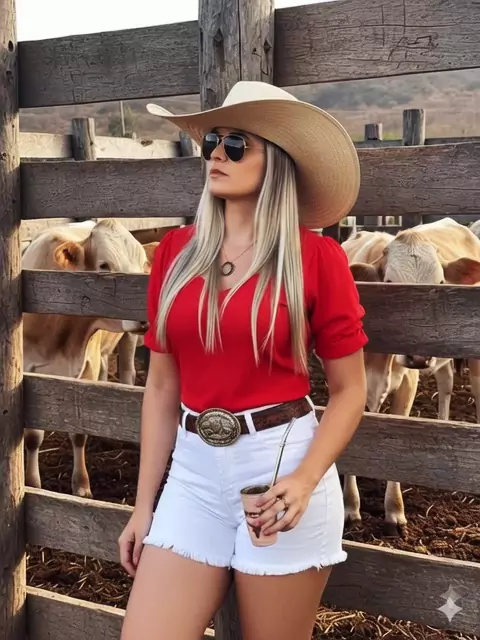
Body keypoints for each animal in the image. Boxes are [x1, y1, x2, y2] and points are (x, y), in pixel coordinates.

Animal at [23, 218, 150, 498]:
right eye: (104, 266)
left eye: (142, 265)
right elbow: (33, 437)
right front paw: (32, 483)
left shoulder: (85, 367)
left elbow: (79, 432)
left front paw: (81, 486)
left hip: (127, 339)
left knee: (127, 374)